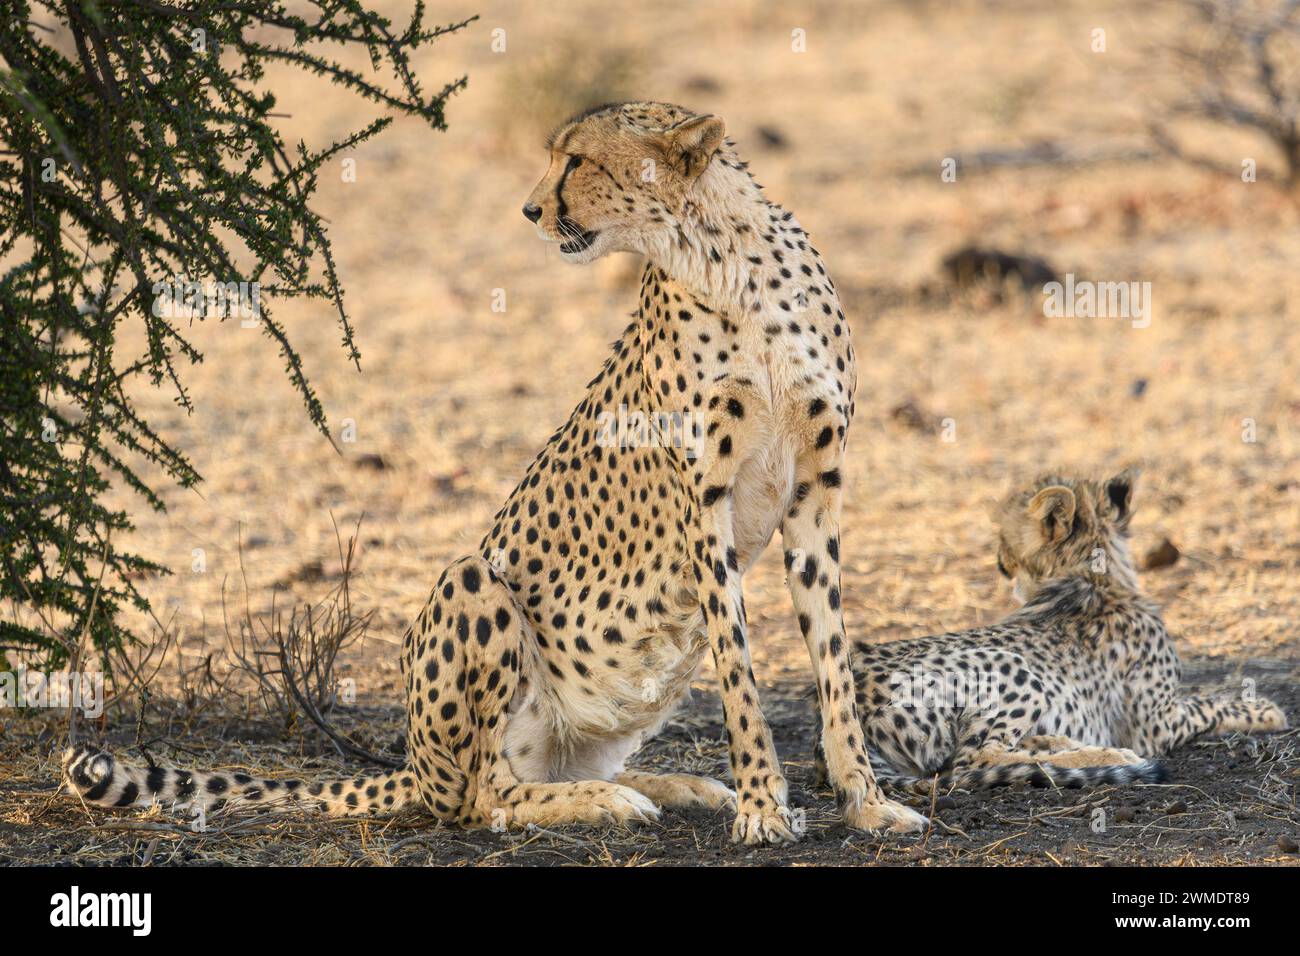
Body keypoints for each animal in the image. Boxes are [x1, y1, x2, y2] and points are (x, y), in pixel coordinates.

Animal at [64, 100, 928, 845]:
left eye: (577, 160)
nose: (529, 211)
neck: (725, 261)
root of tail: (413, 763)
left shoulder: (816, 489)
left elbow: (831, 659)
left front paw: (864, 803)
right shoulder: (703, 504)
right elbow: (742, 675)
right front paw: (763, 807)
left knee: (535, 774)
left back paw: (672, 785)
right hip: (471, 580)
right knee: (482, 797)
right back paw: (607, 800)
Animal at [811, 468, 1288, 796]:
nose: (1000, 562)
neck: (1095, 579)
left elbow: (1207, 699)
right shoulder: (1157, 724)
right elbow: (1210, 703)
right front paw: (1266, 710)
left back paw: (1063, 742)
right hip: (1011, 670)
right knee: (970, 760)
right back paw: (1105, 754)